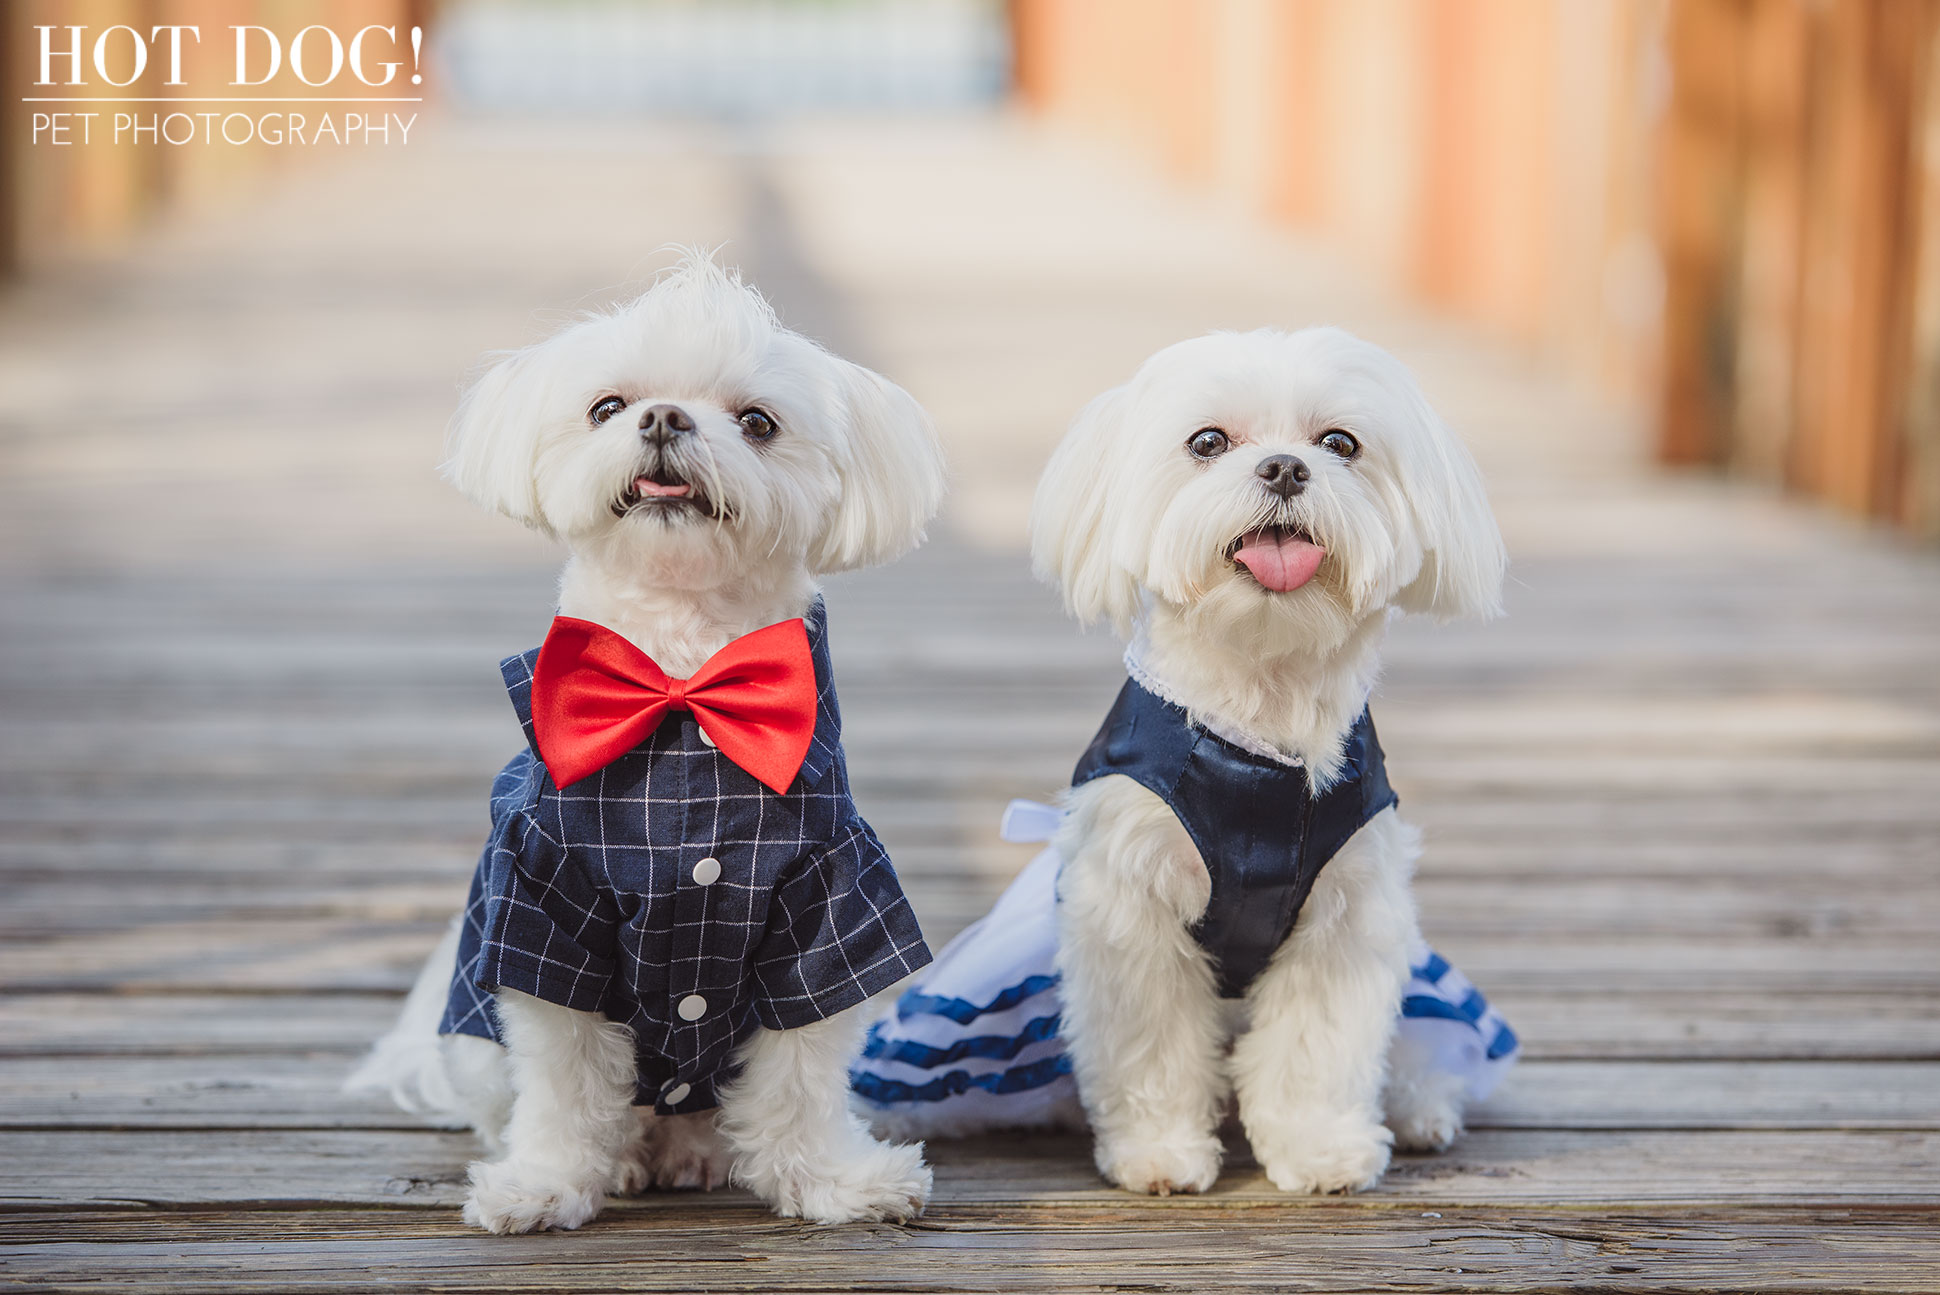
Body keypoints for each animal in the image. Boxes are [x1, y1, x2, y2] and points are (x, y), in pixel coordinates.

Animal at [356, 255, 954, 1232]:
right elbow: (563, 1081)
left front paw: (832, 1181)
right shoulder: (545, 900)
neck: (681, 680)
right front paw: (544, 1184)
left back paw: (693, 1150)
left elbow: (801, 1066)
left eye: (757, 422)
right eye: (608, 406)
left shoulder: (830, 891)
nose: (665, 418)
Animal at [1024, 329, 1505, 1201]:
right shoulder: (1130, 907)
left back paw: (1422, 1106)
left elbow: (1319, 1044)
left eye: (1340, 443)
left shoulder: (1344, 914)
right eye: (1208, 442)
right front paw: (1158, 1153)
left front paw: (1321, 1151)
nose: (1284, 467)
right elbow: (1150, 1042)